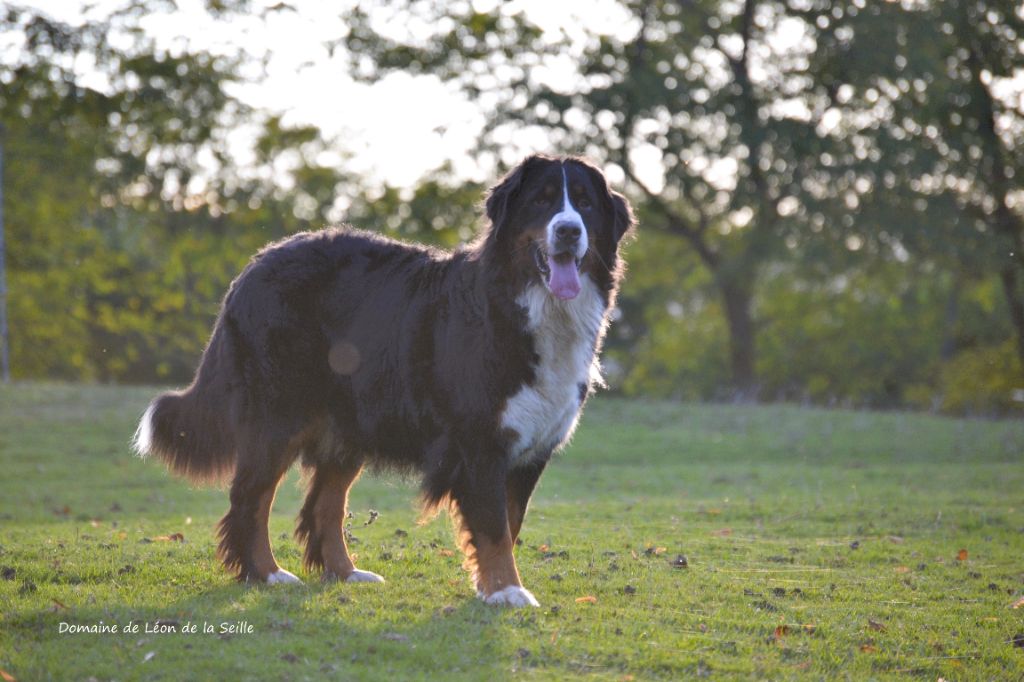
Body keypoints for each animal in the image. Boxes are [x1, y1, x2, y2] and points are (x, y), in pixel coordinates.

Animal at [133, 155, 634, 606]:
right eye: (542, 201)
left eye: (584, 204)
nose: (568, 230)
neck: (528, 308)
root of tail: (253, 267)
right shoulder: (480, 443)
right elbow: (493, 528)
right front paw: (507, 591)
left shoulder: (530, 449)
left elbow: (508, 526)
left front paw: (489, 588)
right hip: (278, 415)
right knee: (250, 498)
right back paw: (267, 574)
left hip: (346, 423)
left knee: (324, 505)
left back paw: (346, 573)